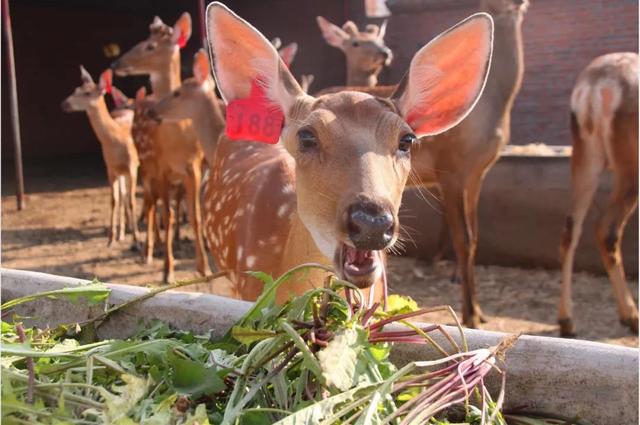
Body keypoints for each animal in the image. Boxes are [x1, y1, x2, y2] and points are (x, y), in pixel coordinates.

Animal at [61, 67, 140, 248]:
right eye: (76, 89)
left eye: (87, 92)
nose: (64, 104)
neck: (116, 139)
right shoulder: (110, 168)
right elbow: (114, 200)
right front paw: (111, 239)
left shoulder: (132, 165)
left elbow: (132, 201)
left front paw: (137, 240)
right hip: (120, 172)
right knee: (123, 195)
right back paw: (122, 232)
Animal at [111, 13, 211, 283]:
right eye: (145, 39)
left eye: (150, 46)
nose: (115, 63)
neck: (176, 135)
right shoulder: (161, 167)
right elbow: (167, 214)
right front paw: (167, 271)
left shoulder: (193, 166)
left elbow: (196, 216)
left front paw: (204, 267)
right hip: (145, 167)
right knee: (150, 204)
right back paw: (147, 250)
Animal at [558, 52, 639, 337]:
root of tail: (593, 88)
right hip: (628, 165)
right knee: (607, 228)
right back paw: (631, 316)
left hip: (585, 156)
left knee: (571, 227)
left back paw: (567, 321)